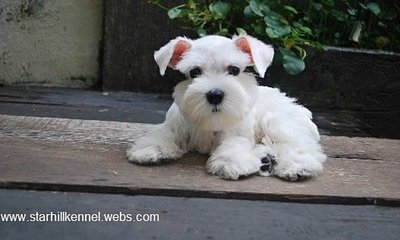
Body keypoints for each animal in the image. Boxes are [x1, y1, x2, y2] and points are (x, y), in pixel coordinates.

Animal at [126, 33, 326, 180]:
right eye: (195, 72)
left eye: (234, 70)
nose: (215, 94)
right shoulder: (176, 125)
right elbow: (164, 133)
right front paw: (152, 148)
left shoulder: (237, 132)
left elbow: (234, 143)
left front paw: (230, 161)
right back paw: (266, 159)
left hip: (278, 122)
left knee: (297, 145)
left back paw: (298, 166)